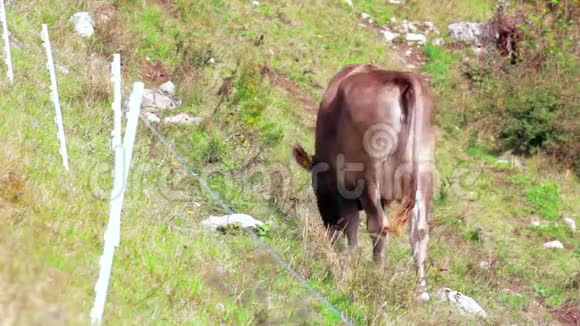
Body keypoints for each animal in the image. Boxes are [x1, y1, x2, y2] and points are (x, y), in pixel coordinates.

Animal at [294, 63, 436, 300]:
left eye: (316, 188)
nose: (329, 231)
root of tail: (403, 79)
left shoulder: (345, 186)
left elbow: (351, 223)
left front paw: (350, 258)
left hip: (369, 173)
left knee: (378, 226)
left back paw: (376, 273)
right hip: (424, 170)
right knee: (419, 232)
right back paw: (421, 291)